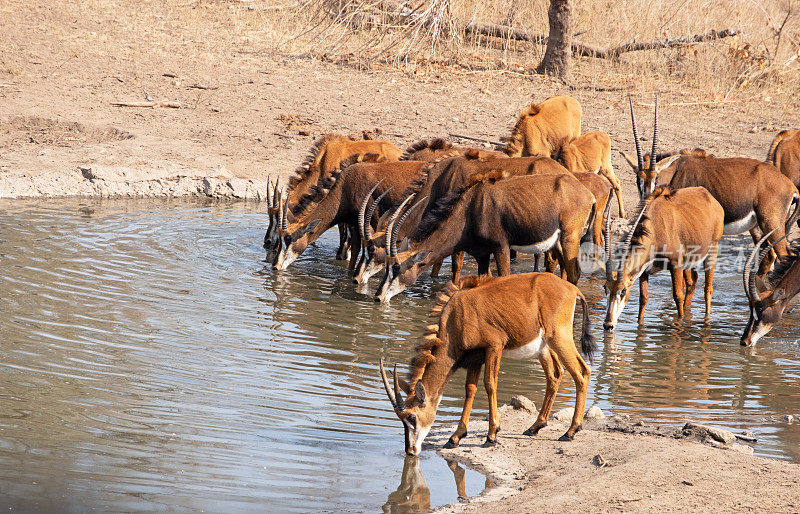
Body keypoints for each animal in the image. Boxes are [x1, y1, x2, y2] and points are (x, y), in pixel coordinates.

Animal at [374, 170, 592, 302]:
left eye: (398, 269)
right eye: (386, 267)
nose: (377, 297)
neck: (471, 208)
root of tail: (587, 193)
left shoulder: (501, 247)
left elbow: (504, 277)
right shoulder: (482, 255)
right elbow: (484, 280)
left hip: (570, 237)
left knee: (574, 273)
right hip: (559, 242)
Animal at [376, 272, 592, 452]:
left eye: (411, 417)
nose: (410, 451)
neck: (456, 317)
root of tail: (572, 289)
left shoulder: (494, 346)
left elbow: (490, 385)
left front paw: (491, 435)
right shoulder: (475, 358)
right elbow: (470, 389)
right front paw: (455, 437)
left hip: (559, 337)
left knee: (582, 372)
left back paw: (571, 431)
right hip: (544, 348)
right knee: (555, 374)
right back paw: (535, 427)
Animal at [600, 186, 724, 330]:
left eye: (623, 290)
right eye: (605, 288)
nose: (608, 325)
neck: (656, 227)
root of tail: (708, 194)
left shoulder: (676, 264)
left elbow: (677, 295)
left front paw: (680, 323)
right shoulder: (644, 270)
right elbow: (643, 298)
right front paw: (640, 326)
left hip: (712, 249)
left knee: (707, 289)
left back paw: (706, 321)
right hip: (690, 261)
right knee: (692, 281)